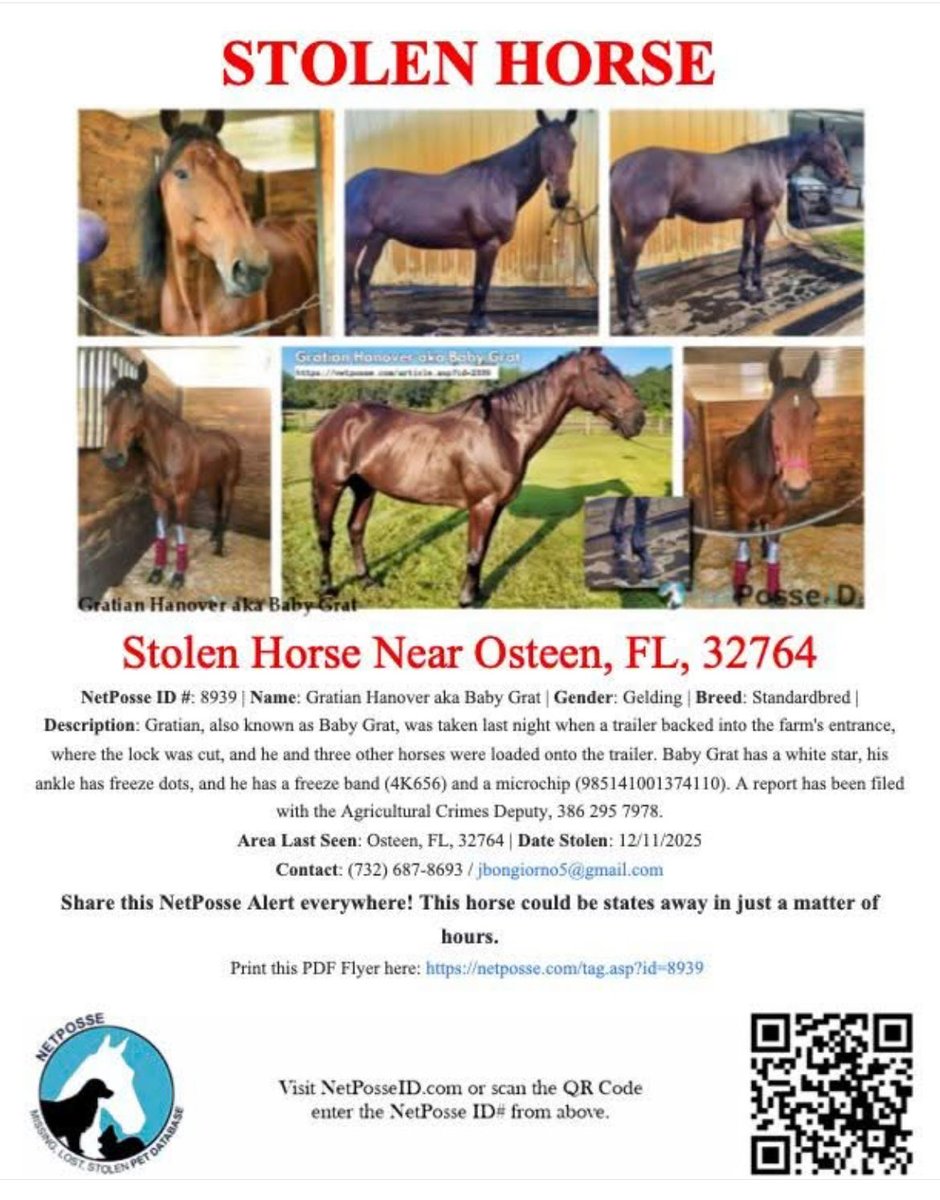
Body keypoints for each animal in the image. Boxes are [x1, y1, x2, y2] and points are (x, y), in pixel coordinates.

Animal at [101, 360, 242, 589]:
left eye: (138, 403)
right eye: (105, 402)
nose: (113, 458)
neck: (167, 452)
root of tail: (230, 440)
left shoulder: (182, 498)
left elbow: (180, 532)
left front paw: (178, 576)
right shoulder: (158, 497)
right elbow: (160, 533)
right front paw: (157, 572)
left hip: (229, 483)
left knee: (226, 510)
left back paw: (220, 548)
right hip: (211, 485)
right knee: (217, 509)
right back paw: (213, 538)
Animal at [311, 347, 646, 607]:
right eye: (603, 371)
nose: (638, 419)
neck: (504, 432)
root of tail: (333, 418)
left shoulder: (495, 506)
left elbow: (481, 552)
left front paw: (478, 593)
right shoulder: (481, 505)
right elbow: (473, 554)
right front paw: (466, 601)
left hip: (365, 488)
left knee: (355, 529)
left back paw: (366, 580)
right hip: (331, 486)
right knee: (326, 535)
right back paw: (327, 588)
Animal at [345, 110, 578, 335]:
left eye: (573, 144)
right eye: (544, 146)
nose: (561, 197)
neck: (500, 183)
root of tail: (352, 184)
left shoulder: (486, 247)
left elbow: (483, 284)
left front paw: (481, 322)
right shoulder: (488, 244)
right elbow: (481, 286)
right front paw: (476, 325)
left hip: (378, 238)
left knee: (364, 273)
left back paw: (373, 321)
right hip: (354, 240)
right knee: (348, 277)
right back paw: (350, 324)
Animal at [610, 120, 853, 333]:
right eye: (833, 146)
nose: (846, 178)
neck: (773, 160)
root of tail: (619, 166)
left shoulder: (750, 215)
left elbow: (746, 243)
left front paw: (744, 281)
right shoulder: (765, 213)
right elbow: (759, 248)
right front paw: (759, 287)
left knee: (627, 265)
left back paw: (641, 308)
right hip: (640, 230)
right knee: (625, 267)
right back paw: (629, 321)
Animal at [724, 349, 820, 604]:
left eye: (816, 412)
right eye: (773, 413)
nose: (796, 486)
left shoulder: (780, 516)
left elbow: (775, 555)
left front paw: (774, 592)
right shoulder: (740, 513)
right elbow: (741, 548)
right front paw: (739, 586)